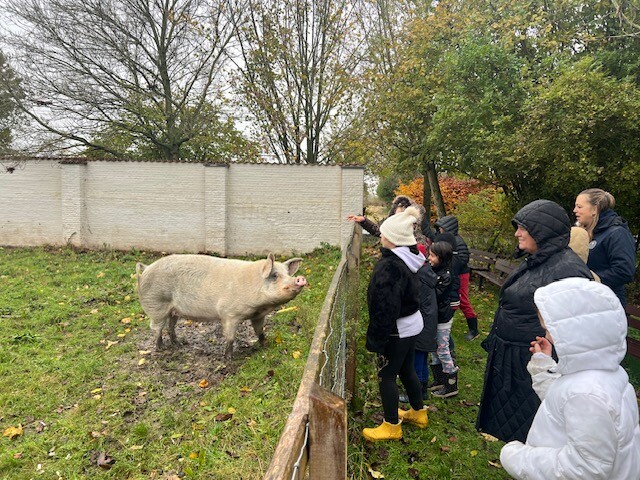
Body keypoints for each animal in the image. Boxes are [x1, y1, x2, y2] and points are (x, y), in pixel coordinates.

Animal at [136, 253, 308, 358]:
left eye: (288, 274)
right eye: (274, 275)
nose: (300, 278)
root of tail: (146, 268)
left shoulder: (258, 315)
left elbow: (260, 331)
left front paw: (266, 345)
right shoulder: (229, 314)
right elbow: (230, 337)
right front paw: (228, 358)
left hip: (174, 310)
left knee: (170, 326)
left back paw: (179, 343)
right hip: (156, 305)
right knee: (157, 328)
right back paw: (161, 348)